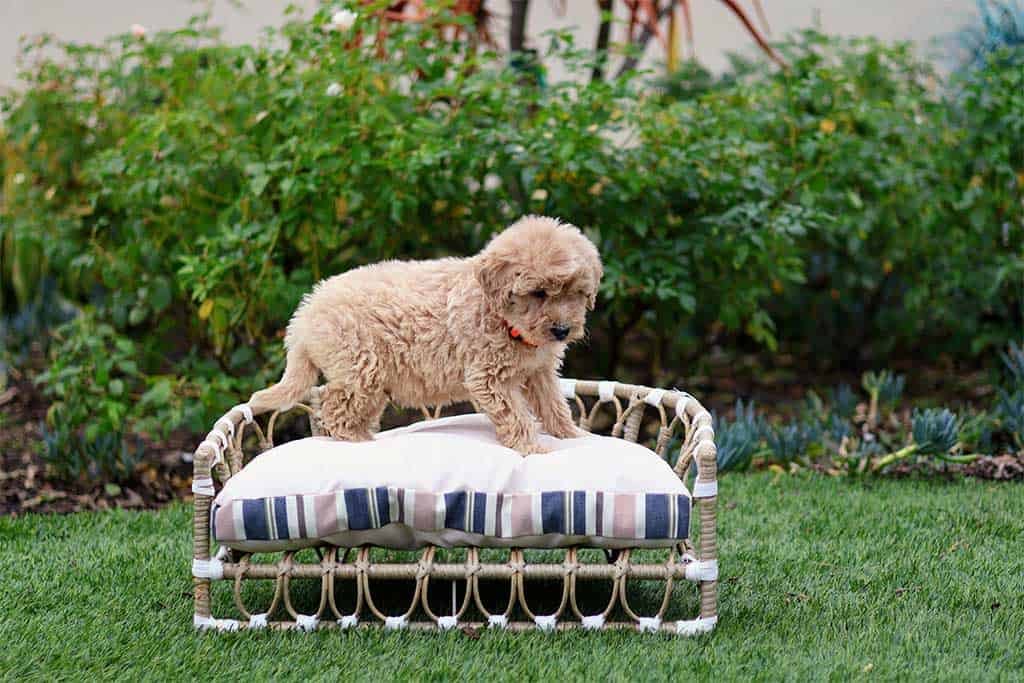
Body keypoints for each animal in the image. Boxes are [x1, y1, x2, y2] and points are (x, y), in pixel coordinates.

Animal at [247, 216, 598, 456]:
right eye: (539, 293)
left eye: (577, 293)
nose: (562, 330)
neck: (505, 320)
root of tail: (305, 313)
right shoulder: (488, 378)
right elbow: (517, 415)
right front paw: (533, 449)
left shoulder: (540, 372)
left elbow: (554, 405)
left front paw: (572, 436)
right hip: (360, 366)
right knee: (333, 406)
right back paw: (358, 442)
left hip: (372, 381)